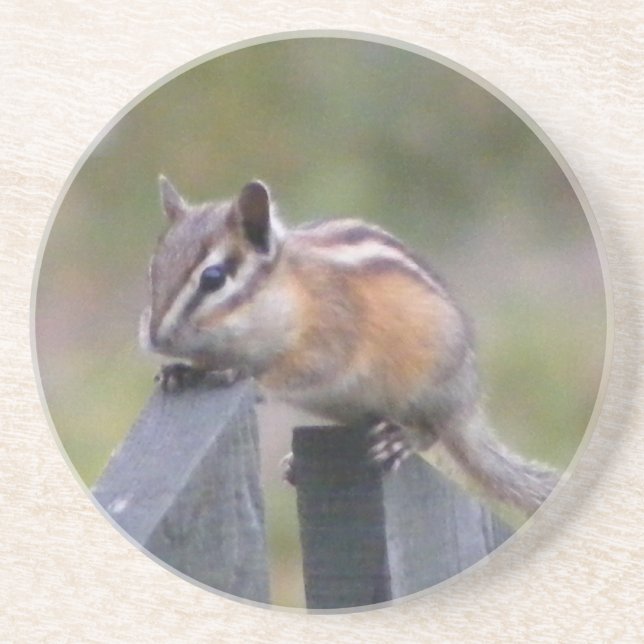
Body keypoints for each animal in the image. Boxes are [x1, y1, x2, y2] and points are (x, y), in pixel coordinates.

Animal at [140, 177, 560, 516]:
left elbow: (303, 368)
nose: (156, 338)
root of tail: (467, 404)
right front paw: (181, 370)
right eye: (152, 269)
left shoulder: (331, 333)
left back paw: (402, 439)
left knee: (432, 432)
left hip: (426, 388)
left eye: (213, 278)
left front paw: (244, 374)